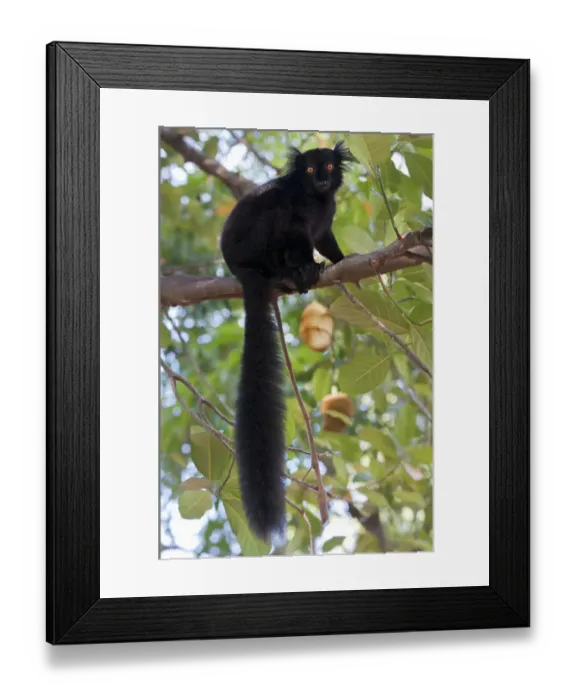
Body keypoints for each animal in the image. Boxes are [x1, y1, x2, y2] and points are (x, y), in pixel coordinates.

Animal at [219, 141, 357, 543]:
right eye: (310, 170)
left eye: (328, 165)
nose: (323, 179)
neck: (317, 199)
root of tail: (238, 268)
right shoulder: (300, 212)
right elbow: (298, 233)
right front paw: (307, 266)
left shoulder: (327, 215)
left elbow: (325, 238)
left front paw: (344, 259)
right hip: (256, 242)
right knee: (276, 208)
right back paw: (290, 272)